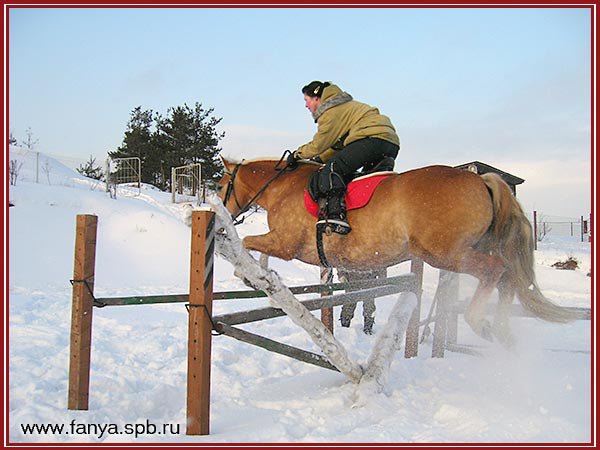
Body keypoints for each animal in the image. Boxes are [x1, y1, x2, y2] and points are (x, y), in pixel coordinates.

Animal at [217, 156, 580, 342]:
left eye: (221, 185)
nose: (223, 215)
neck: (282, 187)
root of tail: (482, 180)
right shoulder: (284, 243)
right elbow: (258, 250)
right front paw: (263, 276)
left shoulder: (286, 243)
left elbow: (248, 244)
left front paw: (249, 274)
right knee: (508, 278)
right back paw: (502, 330)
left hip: (444, 253)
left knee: (495, 271)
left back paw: (481, 321)